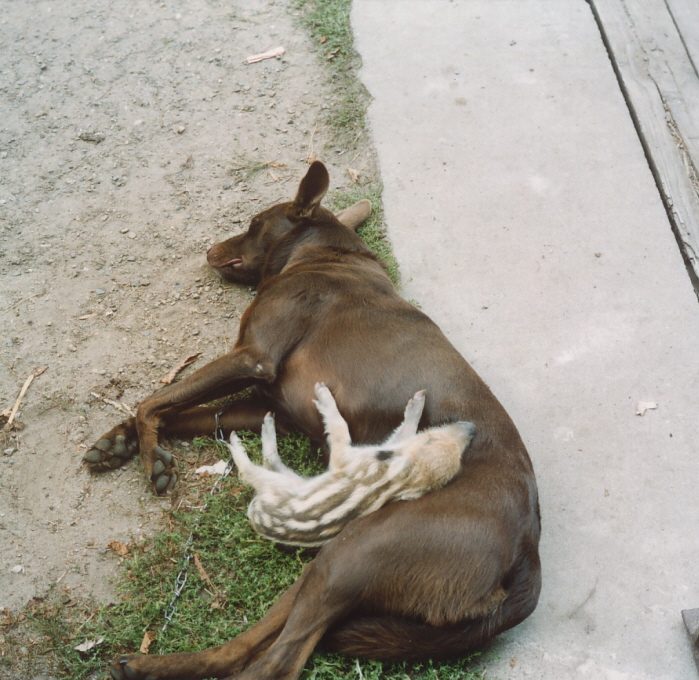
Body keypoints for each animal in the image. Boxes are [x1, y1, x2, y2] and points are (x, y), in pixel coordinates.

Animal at [90, 162, 540, 676]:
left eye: (253, 224)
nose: (208, 250)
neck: (325, 254)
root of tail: (528, 553)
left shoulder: (253, 358)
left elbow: (156, 400)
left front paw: (150, 456)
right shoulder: (272, 406)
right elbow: (184, 409)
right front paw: (117, 444)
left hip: (357, 554)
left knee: (276, 662)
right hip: (334, 560)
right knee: (246, 646)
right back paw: (152, 665)